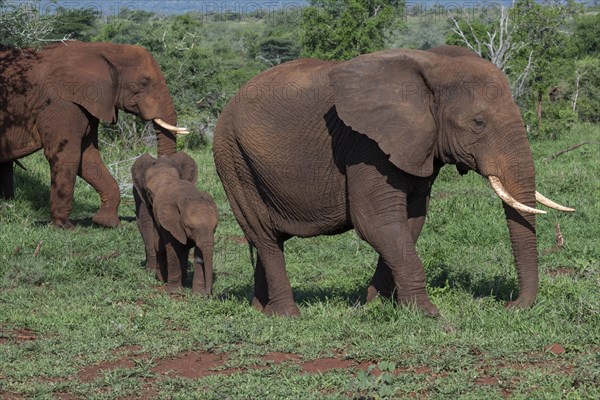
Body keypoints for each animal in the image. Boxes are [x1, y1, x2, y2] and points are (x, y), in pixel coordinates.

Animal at [0, 41, 188, 228]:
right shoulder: (62, 103)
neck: (104, 49)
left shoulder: (89, 104)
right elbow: (67, 155)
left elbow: (88, 158)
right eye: (143, 83)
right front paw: (65, 227)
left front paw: (105, 223)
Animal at [131, 152, 218, 296]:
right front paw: (174, 293)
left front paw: (198, 295)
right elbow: (148, 223)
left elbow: (199, 249)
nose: (209, 294)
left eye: (215, 228)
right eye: (190, 227)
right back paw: (161, 277)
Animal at [213, 45, 576, 318]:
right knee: (263, 235)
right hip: (233, 159)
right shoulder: (365, 145)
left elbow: (409, 222)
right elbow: (377, 222)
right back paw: (287, 315)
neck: (431, 66)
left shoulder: (417, 146)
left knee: (266, 239)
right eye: (478, 123)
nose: (509, 306)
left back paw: (260, 310)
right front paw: (429, 315)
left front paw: (376, 306)